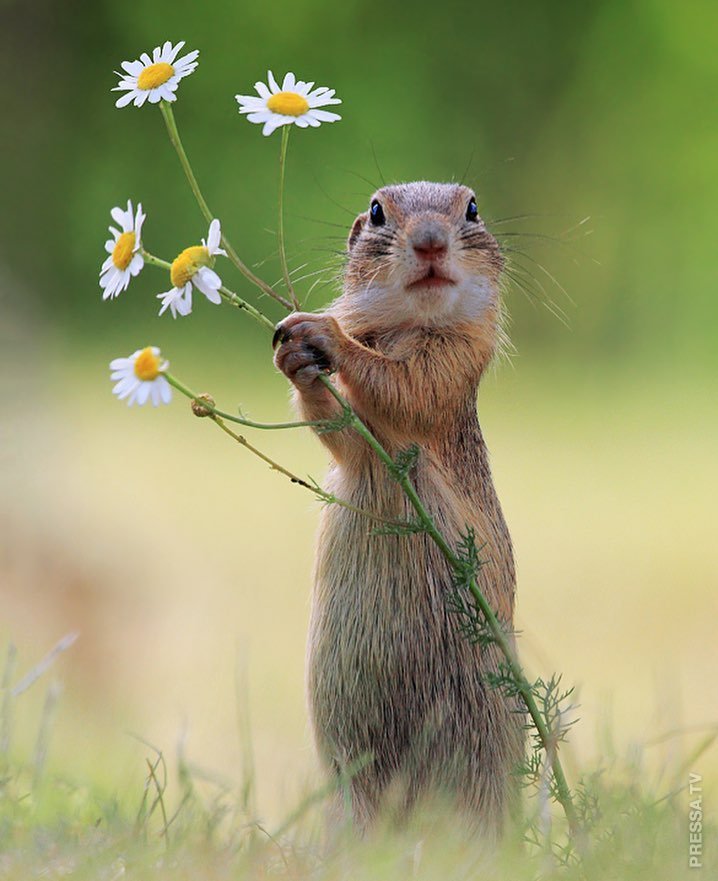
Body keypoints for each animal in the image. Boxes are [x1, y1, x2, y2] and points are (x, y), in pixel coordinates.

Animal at [272, 182, 524, 836]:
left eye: (473, 208)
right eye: (378, 211)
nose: (431, 241)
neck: (412, 325)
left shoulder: (450, 366)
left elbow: (403, 386)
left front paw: (325, 334)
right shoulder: (361, 446)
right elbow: (339, 426)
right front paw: (295, 355)